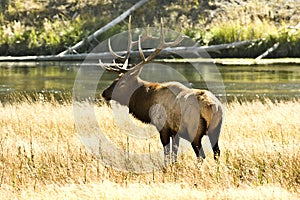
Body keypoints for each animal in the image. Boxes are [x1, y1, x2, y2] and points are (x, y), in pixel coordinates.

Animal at [101, 17, 223, 162]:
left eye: (122, 82)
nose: (104, 92)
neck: (147, 104)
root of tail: (213, 106)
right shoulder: (176, 132)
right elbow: (174, 155)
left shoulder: (163, 127)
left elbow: (167, 154)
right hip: (215, 130)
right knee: (217, 153)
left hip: (194, 131)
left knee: (201, 156)